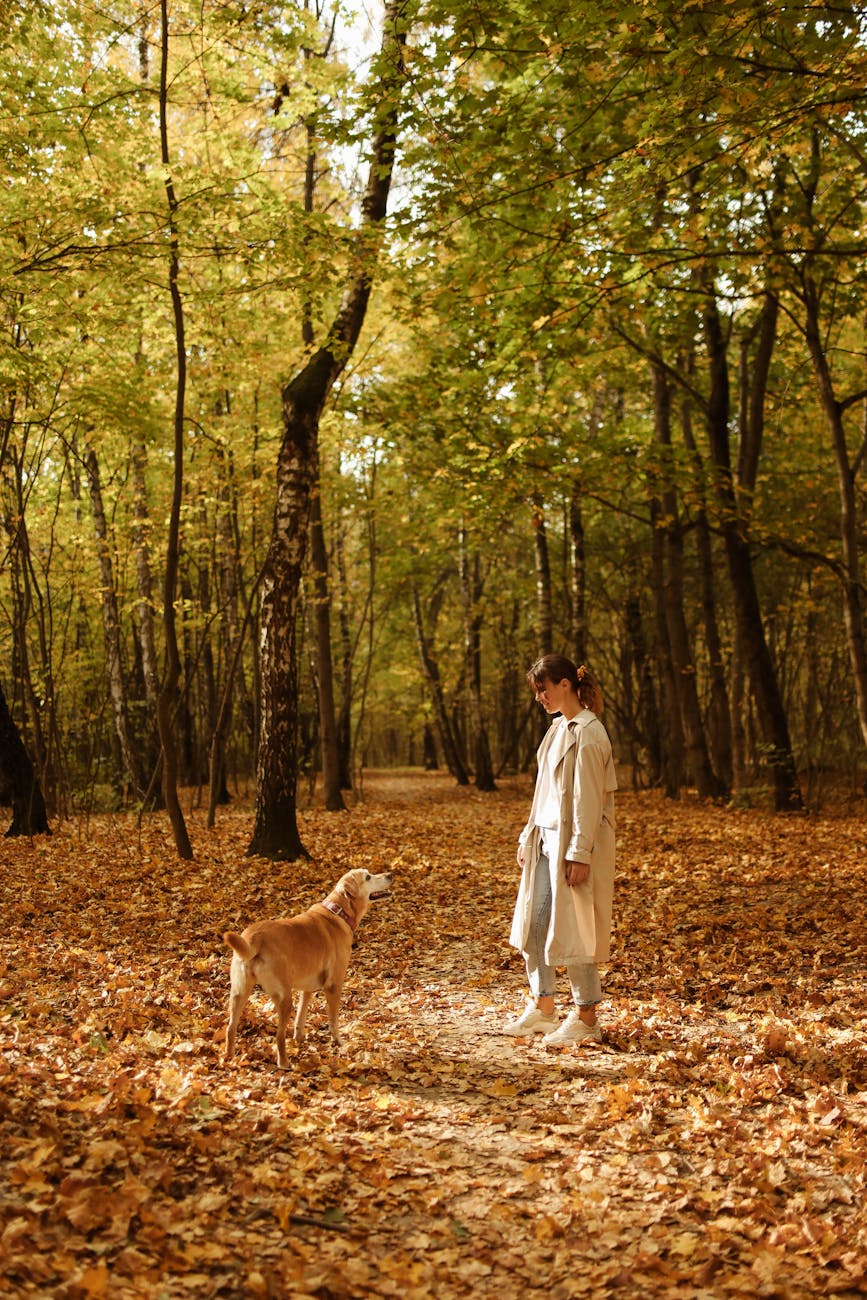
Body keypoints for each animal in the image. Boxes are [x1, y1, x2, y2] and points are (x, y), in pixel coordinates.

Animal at [222, 873, 392, 1066]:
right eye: (368, 877)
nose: (389, 875)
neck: (339, 912)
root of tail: (255, 937)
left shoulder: (307, 989)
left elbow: (300, 1018)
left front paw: (299, 1039)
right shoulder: (334, 985)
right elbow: (333, 1019)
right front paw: (338, 1042)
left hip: (239, 993)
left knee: (230, 1027)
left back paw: (229, 1058)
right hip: (284, 997)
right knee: (279, 1035)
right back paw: (284, 1063)